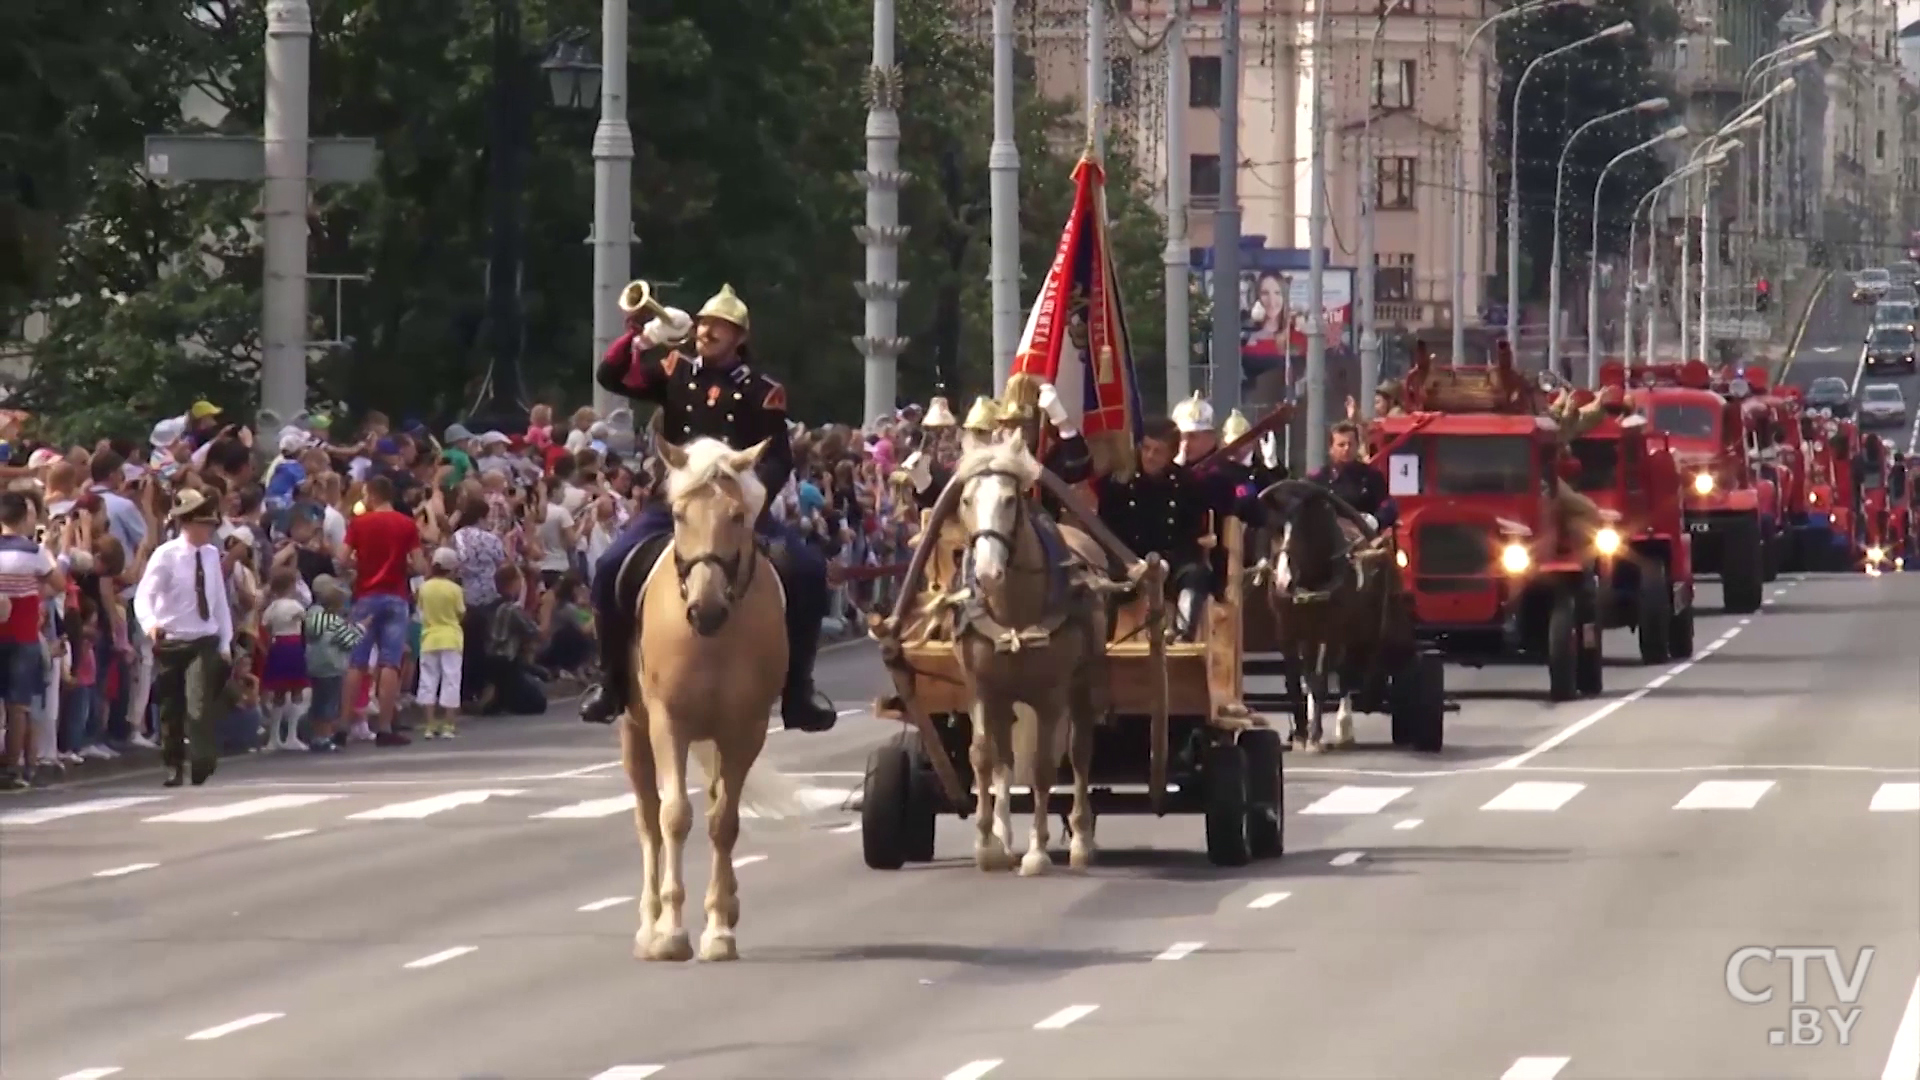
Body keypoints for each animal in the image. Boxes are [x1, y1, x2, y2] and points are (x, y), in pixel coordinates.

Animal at [618, 430, 791, 957]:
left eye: (737, 516)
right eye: (678, 515)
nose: (705, 610)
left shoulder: (746, 729)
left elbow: (723, 822)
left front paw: (718, 928)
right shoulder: (667, 722)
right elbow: (674, 817)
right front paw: (672, 932)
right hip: (633, 730)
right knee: (647, 819)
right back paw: (648, 923)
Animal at [948, 432, 1113, 868]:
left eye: (1010, 499)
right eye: (966, 499)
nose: (987, 573)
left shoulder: (1051, 695)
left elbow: (1043, 768)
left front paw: (1037, 851)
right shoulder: (982, 689)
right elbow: (983, 756)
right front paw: (987, 844)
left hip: (1082, 685)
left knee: (1079, 753)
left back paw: (1080, 838)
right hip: (1006, 698)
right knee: (1004, 757)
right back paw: (1005, 835)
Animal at [1259, 476, 1382, 749]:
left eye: (1304, 530)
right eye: (1275, 529)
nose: (1283, 582)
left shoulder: (1331, 629)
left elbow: (1322, 679)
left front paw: (1314, 735)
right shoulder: (1287, 629)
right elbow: (1295, 681)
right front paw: (1300, 733)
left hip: (1348, 628)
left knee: (1344, 671)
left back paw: (1343, 726)